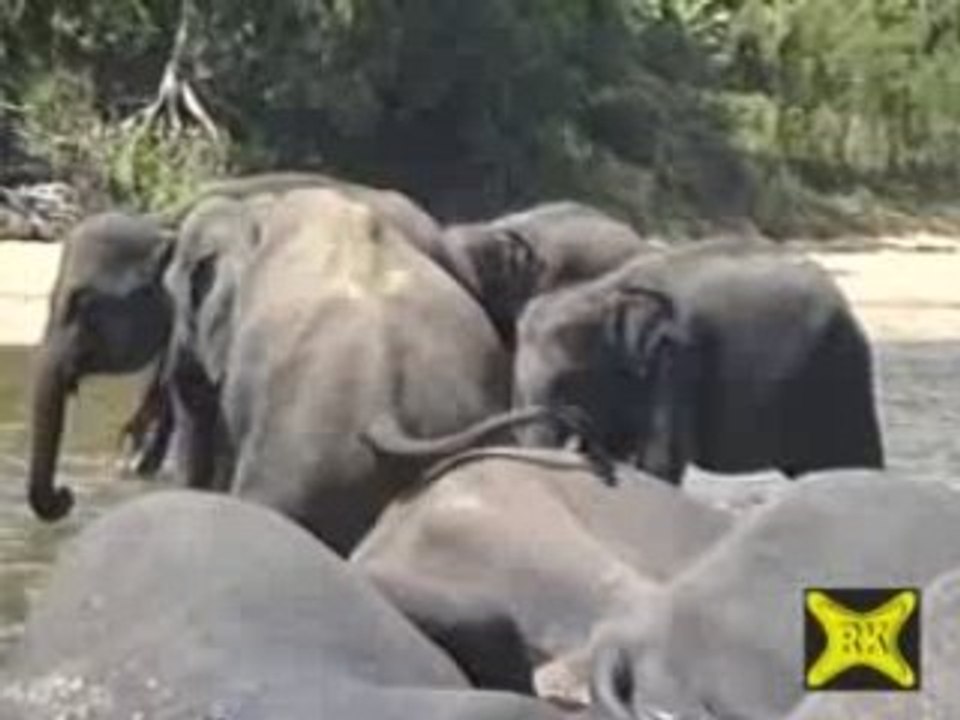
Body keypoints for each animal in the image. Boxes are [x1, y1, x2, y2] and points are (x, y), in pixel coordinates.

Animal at [512, 238, 884, 484]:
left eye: (570, 379)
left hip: (838, 372)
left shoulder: (678, 359)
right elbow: (617, 448)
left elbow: (660, 460)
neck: (603, 290)